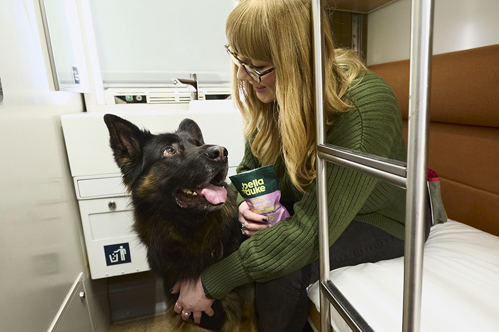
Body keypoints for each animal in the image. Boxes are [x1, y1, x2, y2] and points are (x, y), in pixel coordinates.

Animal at [103, 113, 256, 330]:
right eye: (170, 150)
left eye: (198, 144)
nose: (221, 152)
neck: (191, 234)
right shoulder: (183, 314)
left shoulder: (242, 316)